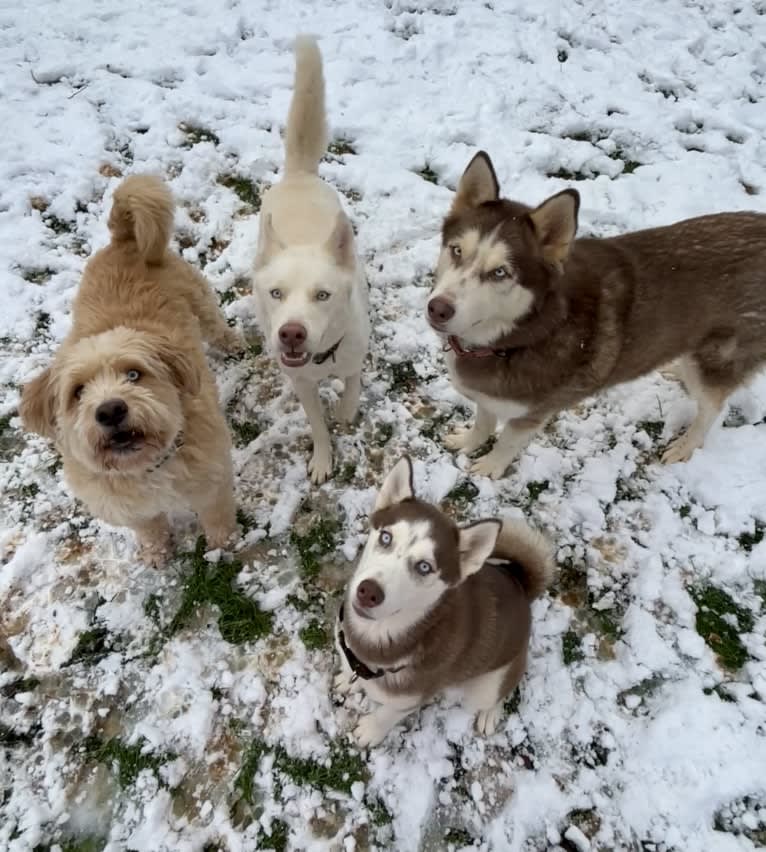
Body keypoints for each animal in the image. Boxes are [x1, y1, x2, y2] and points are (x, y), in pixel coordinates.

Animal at [19, 176, 243, 564]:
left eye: (134, 374)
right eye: (78, 392)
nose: (111, 411)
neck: (146, 466)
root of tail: (123, 239)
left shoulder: (212, 481)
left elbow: (217, 519)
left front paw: (224, 548)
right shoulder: (127, 507)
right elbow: (148, 526)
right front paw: (156, 554)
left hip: (200, 299)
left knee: (215, 324)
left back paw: (232, 343)